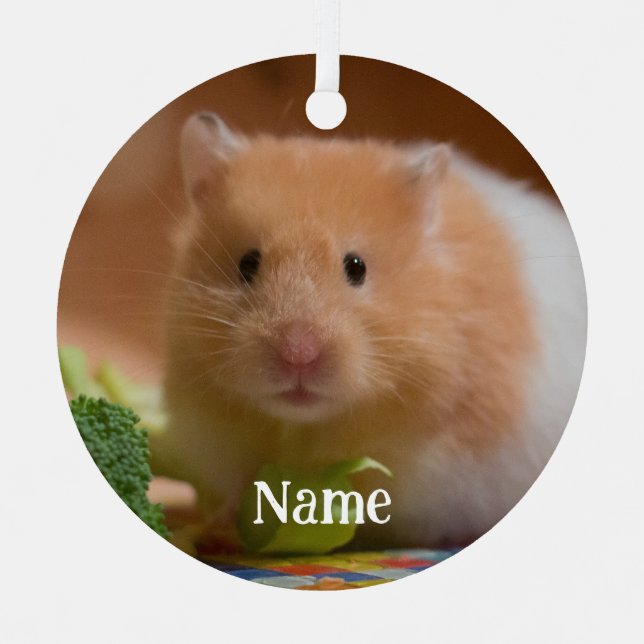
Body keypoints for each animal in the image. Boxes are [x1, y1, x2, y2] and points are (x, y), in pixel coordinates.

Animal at [156, 111, 586, 548]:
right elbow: (237, 488)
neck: (304, 426)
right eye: (247, 263)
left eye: (356, 267)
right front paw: (221, 526)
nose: (298, 355)